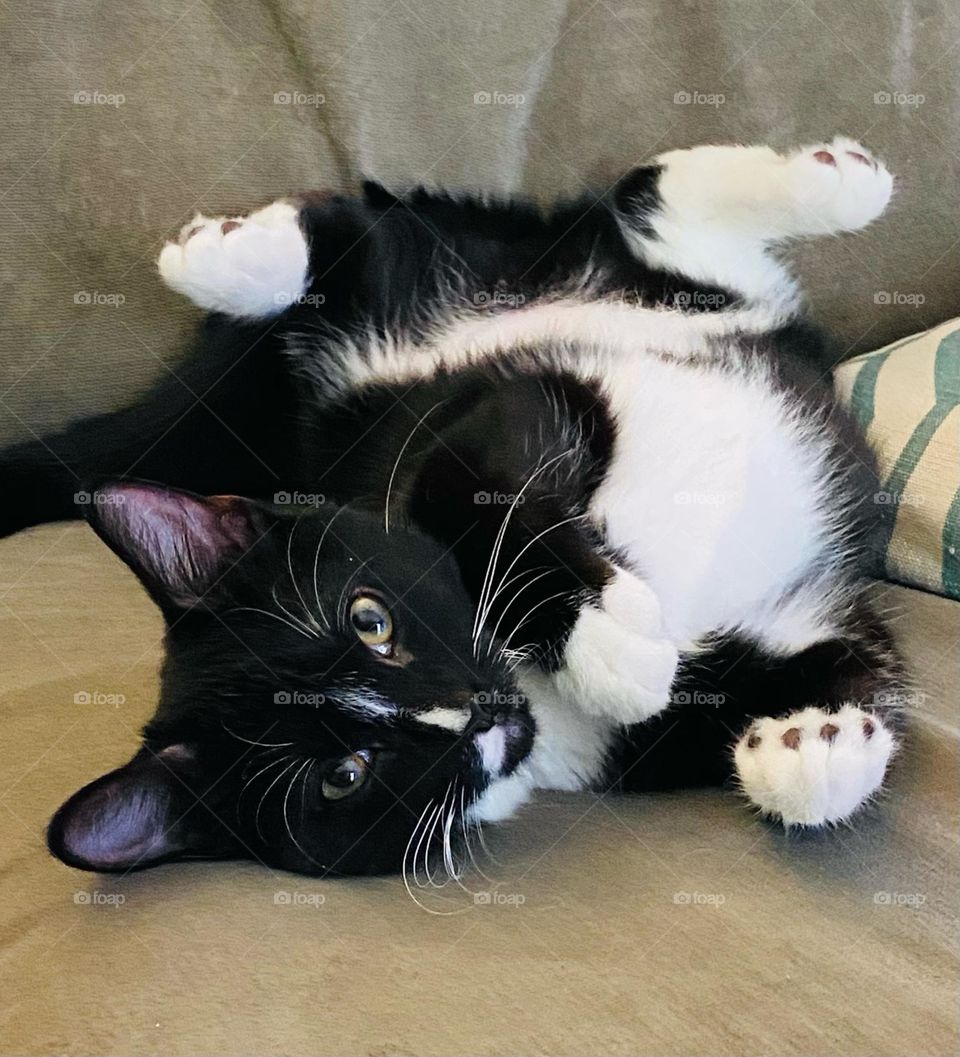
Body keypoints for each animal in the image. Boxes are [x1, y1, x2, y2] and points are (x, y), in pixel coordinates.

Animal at [3, 134, 909, 875]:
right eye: (345, 775)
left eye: (370, 618)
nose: (470, 714)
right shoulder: (658, 732)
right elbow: (805, 677)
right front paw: (811, 744)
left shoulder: (500, 401)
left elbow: (461, 480)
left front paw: (611, 640)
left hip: (559, 282)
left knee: (629, 201)